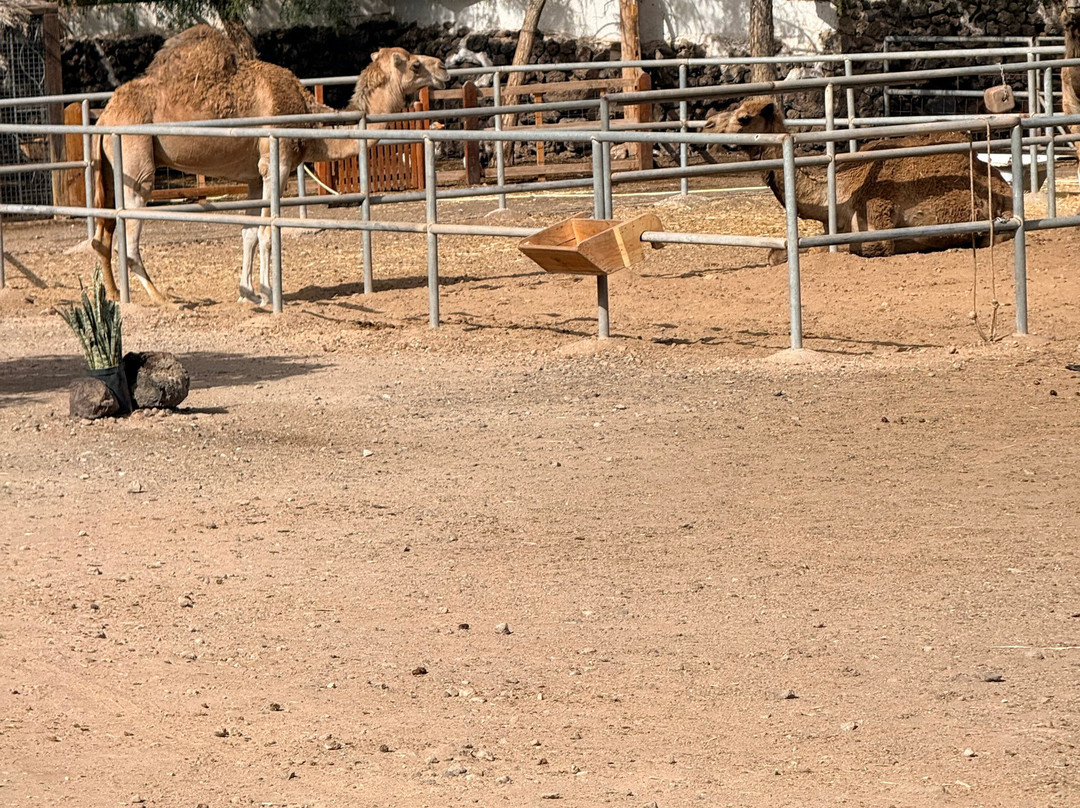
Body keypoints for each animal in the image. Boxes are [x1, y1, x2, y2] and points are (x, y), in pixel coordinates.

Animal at [87, 25, 448, 305]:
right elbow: (267, 232)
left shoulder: (253, 176)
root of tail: (105, 116)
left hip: (111, 167)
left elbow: (249, 232)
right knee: (129, 230)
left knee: (104, 232)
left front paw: (245, 291)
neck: (307, 117)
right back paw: (160, 298)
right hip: (137, 160)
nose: (443, 67)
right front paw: (268, 294)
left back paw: (114, 295)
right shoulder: (277, 163)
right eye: (415, 64)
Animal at [708, 96, 1014, 257]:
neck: (838, 195)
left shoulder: (878, 220)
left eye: (744, 118)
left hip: (1000, 222)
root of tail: (1005, 185)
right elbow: (776, 254)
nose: (708, 122)